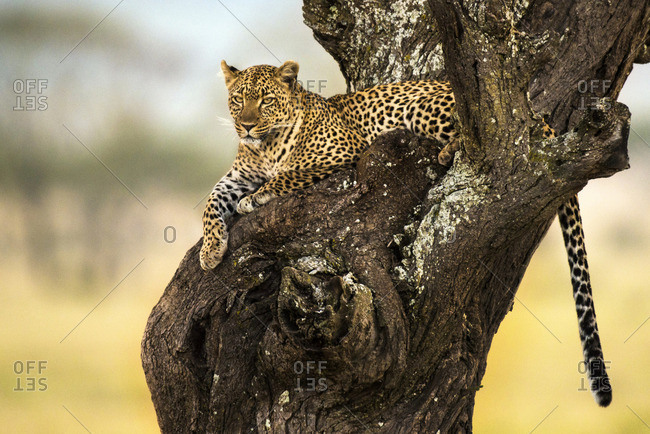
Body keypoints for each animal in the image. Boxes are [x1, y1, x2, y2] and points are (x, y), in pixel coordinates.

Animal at [200, 60, 611, 407]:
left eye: (266, 100)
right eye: (238, 100)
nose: (245, 125)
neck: (266, 148)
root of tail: (534, 112)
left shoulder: (343, 154)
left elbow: (290, 175)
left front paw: (256, 199)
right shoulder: (237, 176)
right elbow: (211, 200)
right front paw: (210, 250)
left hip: (423, 107)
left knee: (480, 138)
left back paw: (448, 151)